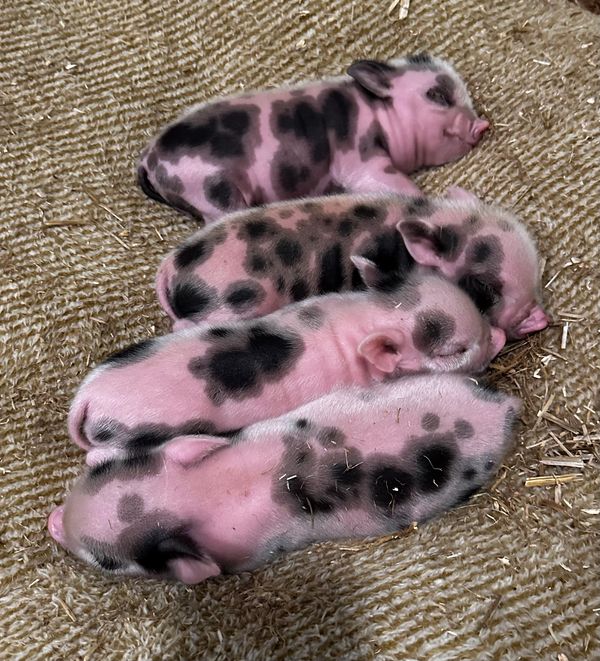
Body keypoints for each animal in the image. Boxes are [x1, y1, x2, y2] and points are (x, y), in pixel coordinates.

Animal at [137, 53, 489, 223]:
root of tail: (149, 160)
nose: (482, 125)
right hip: (211, 193)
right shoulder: (361, 158)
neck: (378, 114)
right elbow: (396, 185)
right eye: (437, 95)